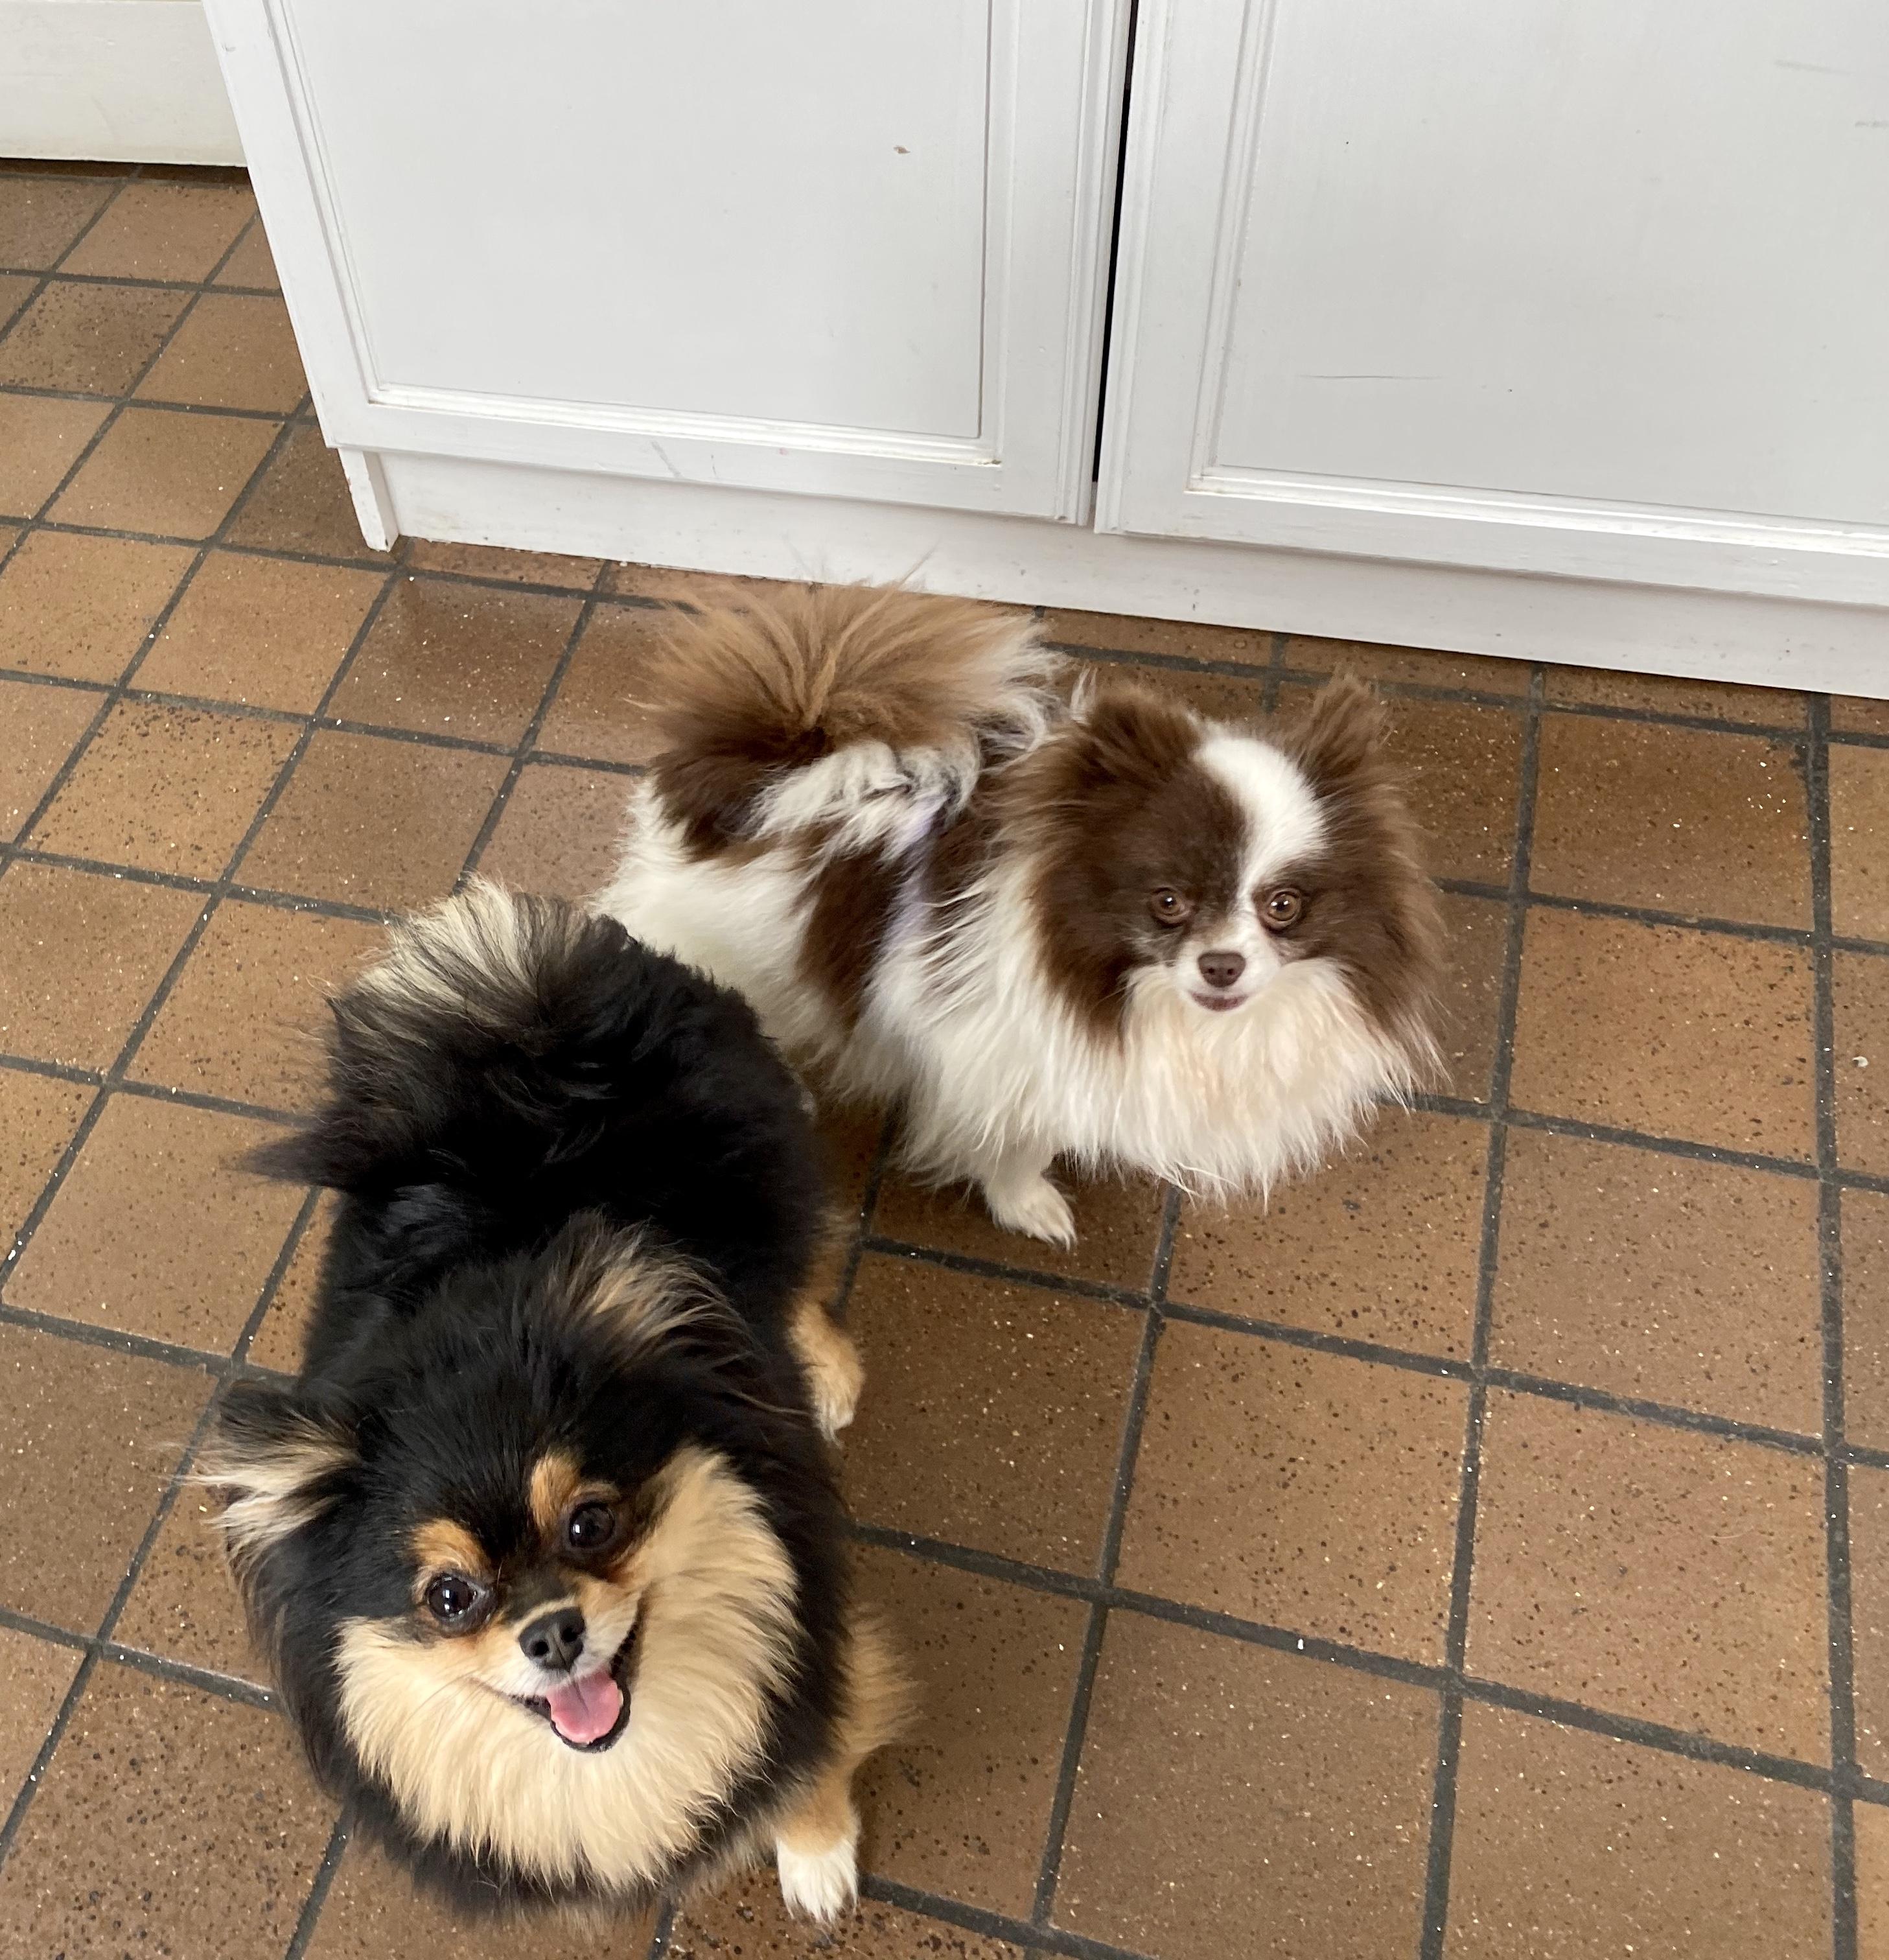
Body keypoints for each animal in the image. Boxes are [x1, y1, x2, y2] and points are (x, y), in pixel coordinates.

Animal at [201, 884, 902, 1921]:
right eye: (448, 1597)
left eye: (589, 1523)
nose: (551, 1632)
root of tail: (533, 1010)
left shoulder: (808, 1649)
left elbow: (808, 1759)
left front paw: (816, 1859)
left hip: (772, 1180)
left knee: (809, 1263)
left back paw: (826, 1373)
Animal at [598, 584, 1443, 1245]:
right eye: (1166, 902)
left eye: (1282, 906)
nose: (1221, 965)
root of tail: (775, 759)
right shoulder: (1004, 1058)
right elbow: (1016, 1148)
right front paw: (1027, 1206)